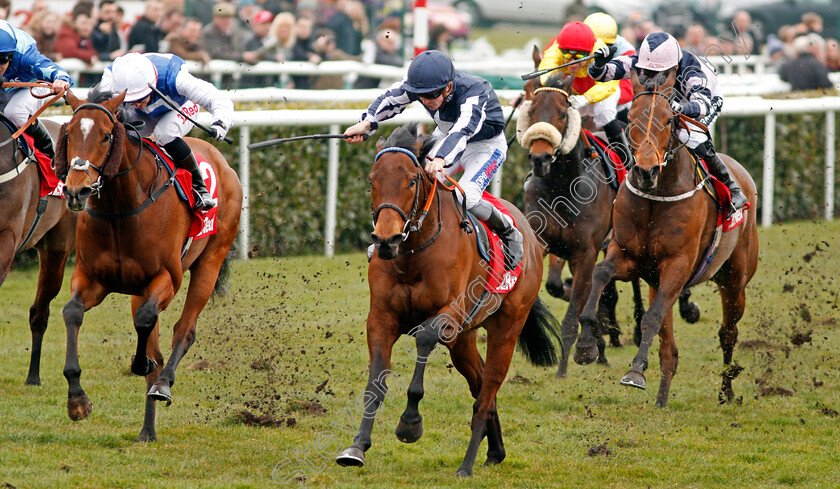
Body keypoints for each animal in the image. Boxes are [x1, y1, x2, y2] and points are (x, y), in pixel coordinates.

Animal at [55, 89, 241, 440]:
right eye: (69, 133)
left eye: (106, 135)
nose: (76, 190)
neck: (120, 208)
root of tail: (222, 161)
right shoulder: (91, 278)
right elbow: (72, 313)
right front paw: (77, 400)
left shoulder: (166, 278)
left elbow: (146, 322)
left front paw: (143, 366)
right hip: (138, 288)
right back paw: (147, 431)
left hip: (210, 261)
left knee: (184, 330)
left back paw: (163, 384)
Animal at [576, 67, 756, 404]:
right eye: (630, 117)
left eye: (669, 120)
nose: (646, 171)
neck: (656, 197)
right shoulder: (629, 256)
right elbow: (601, 273)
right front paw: (585, 345)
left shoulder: (677, 264)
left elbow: (652, 317)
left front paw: (634, 372)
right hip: (660, 281)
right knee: (668, 347)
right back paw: (661, 397)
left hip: (734, 281)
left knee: (728, 333)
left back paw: (727, 390)